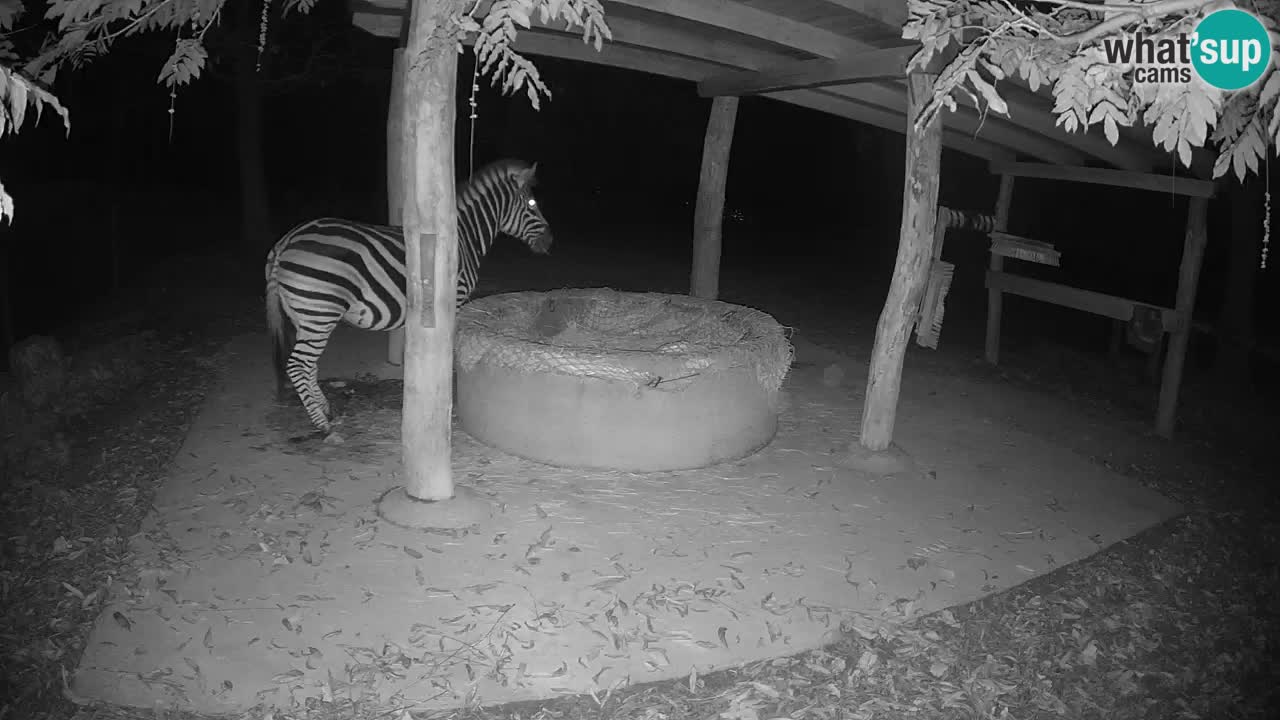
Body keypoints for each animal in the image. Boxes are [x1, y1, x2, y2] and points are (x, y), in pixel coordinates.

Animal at [264, 158, 552, 434]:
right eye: (532, 203)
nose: (550, 241)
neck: (463, 238)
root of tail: (286, 240)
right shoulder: (454, 300)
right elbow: (448, 348)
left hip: (304, 314)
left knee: (308, 365)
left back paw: (325, 409)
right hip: (320, 311)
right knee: (297, 365)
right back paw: (321, 424)